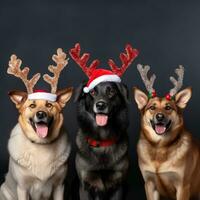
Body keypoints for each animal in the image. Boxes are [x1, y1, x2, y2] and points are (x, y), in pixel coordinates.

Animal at [0, 48, 73, 200]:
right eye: (32, 105)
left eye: (49, 105)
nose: (41, 114)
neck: (41, 145)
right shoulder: (22, 188)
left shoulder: (60, 186)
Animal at [134, 65, 200, 199]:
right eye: (152, 107)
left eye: (168, 107)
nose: (159, 117)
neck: (160, 147)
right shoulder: (149, 184)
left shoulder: (183, 187)